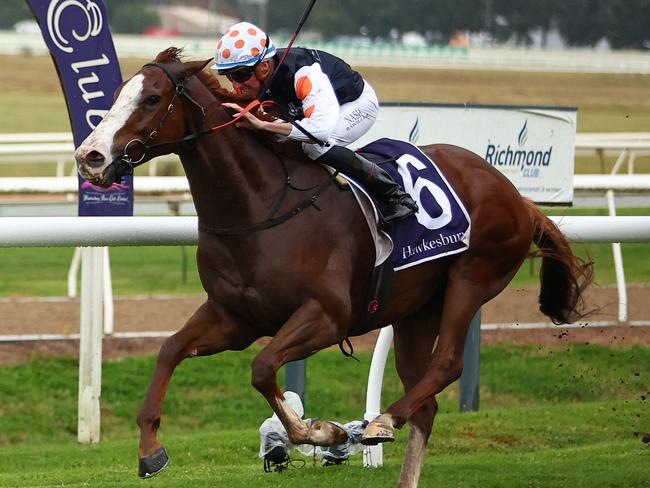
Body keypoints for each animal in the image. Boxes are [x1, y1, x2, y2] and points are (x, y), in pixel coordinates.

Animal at [73, 50, 588, 488]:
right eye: (118, 92)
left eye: (152, 98)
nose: (89, 156)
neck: (261, 206)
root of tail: (516, 195)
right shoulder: (233, 317)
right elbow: (169, 351)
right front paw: (150, 450)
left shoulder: (327, 316)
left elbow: (263, 368)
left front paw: (325, 432)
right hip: (415, 311)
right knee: (426, 404)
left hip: (472, 278)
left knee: (447, 364)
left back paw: (380, 421)